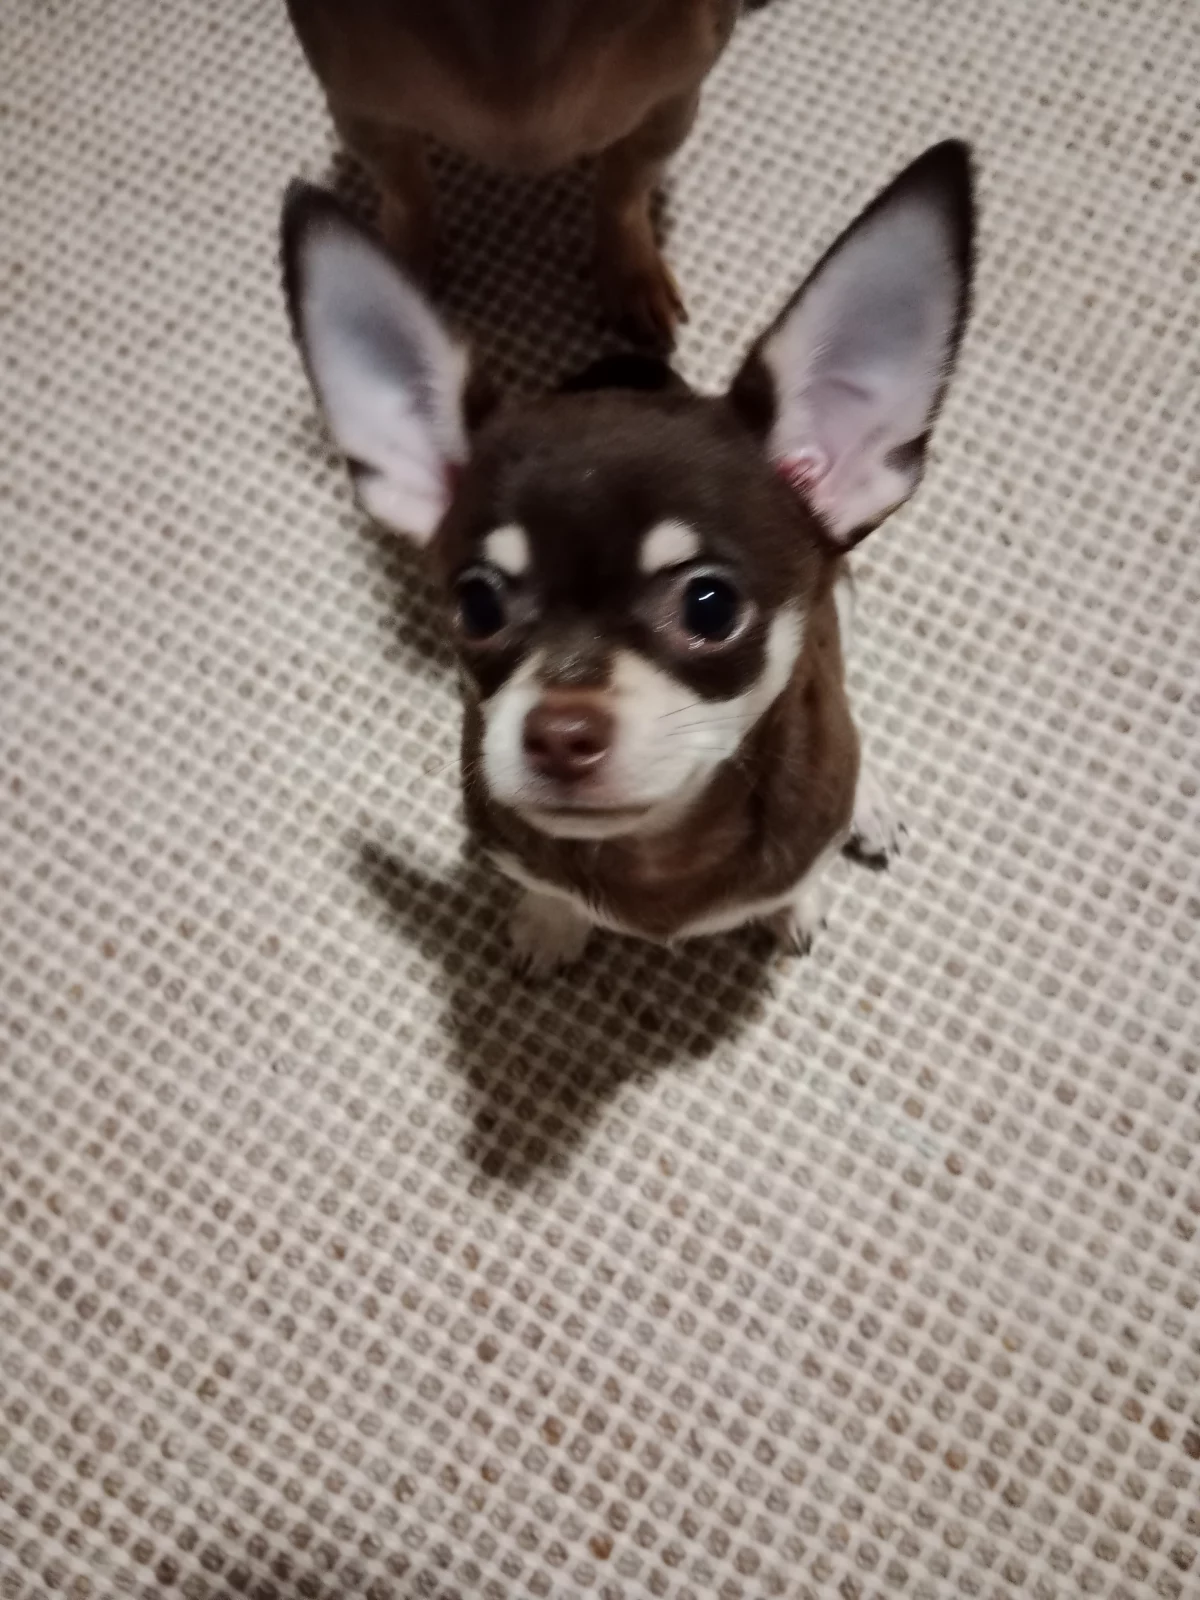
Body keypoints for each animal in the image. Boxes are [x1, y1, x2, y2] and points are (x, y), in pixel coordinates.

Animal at [281, 142, 976, 972]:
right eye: (476, 606)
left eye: (710, 607)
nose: (559, 732)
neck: (655, 854)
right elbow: (547, 885)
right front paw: (551, 922)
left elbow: (798, 869)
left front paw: (796, 903)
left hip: (842, 608)